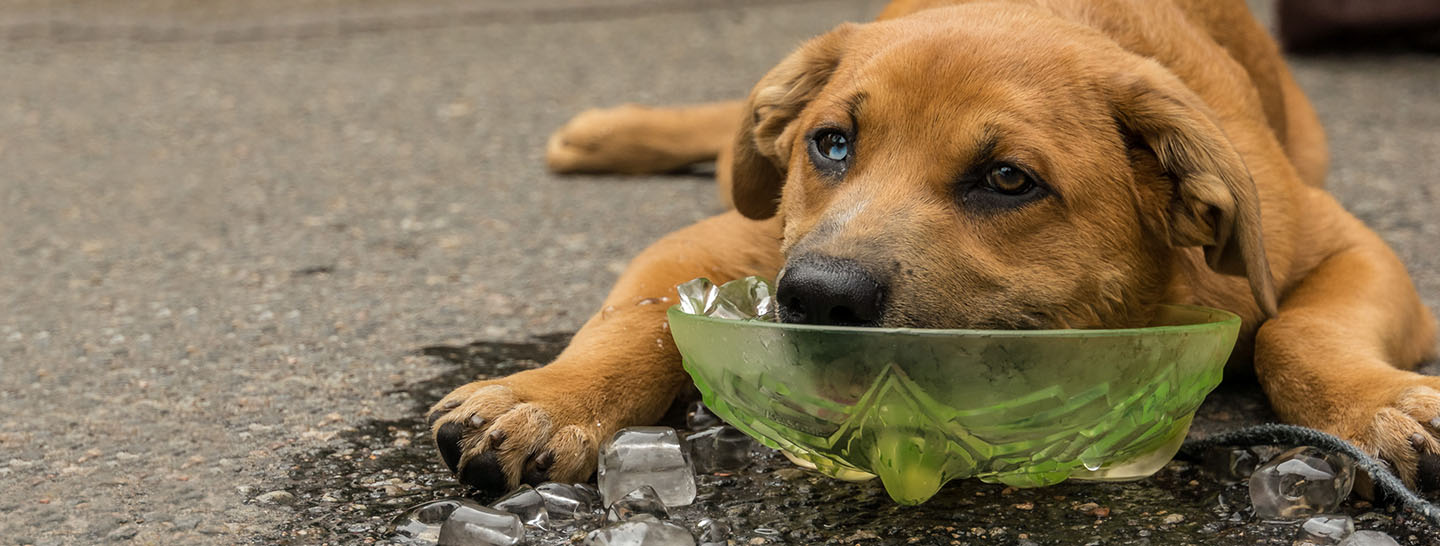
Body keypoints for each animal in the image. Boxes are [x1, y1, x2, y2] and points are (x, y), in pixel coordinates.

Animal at [426, 0, 1440, 495]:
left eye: (1008, 180)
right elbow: (634, 319)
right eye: (830, 144)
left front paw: (1386, 408)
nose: (815, 297)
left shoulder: (1348, 247)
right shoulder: (729, 232)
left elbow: (1294, 334)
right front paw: (546, 400)